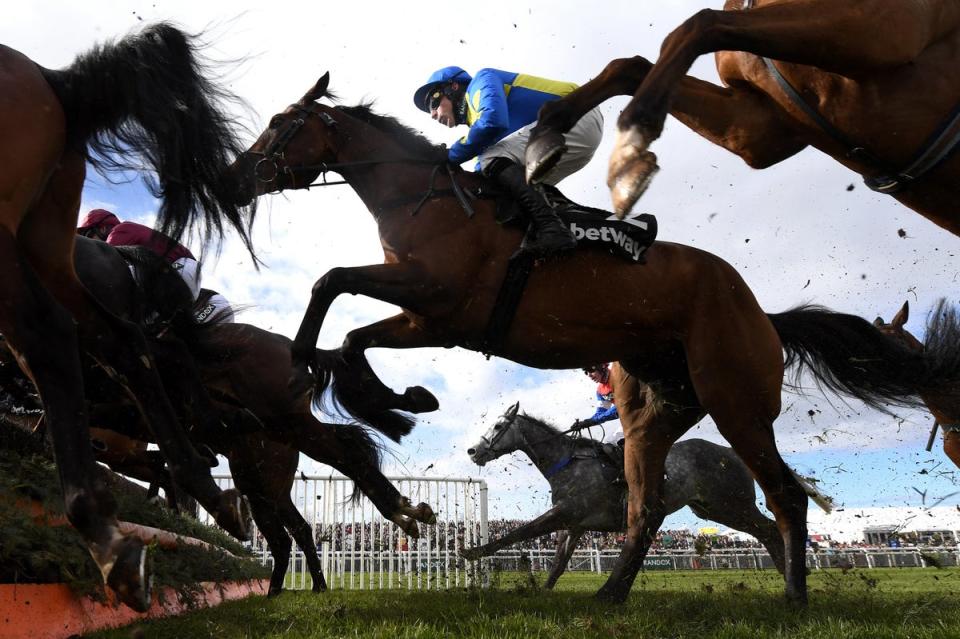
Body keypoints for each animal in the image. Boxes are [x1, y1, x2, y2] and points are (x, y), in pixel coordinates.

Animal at [464, 404, 832, 592]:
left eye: (498, 426)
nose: (472, 451)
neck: (568, 461)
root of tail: (731, 453)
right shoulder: (575, 524)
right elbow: (557, 563)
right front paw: (542, 593)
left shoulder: (566, 513)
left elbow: (520, 532)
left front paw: (471, 552)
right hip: (713, 510)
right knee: (766, 530)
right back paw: (791, 574)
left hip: (731, 503)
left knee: (770, 527)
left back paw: (792, 574)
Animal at [524, 0, 960, 234]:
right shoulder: (760, 127)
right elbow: (633, 65)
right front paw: (545, 133)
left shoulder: (878, 27)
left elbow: (700, 24)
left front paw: (627, 158)